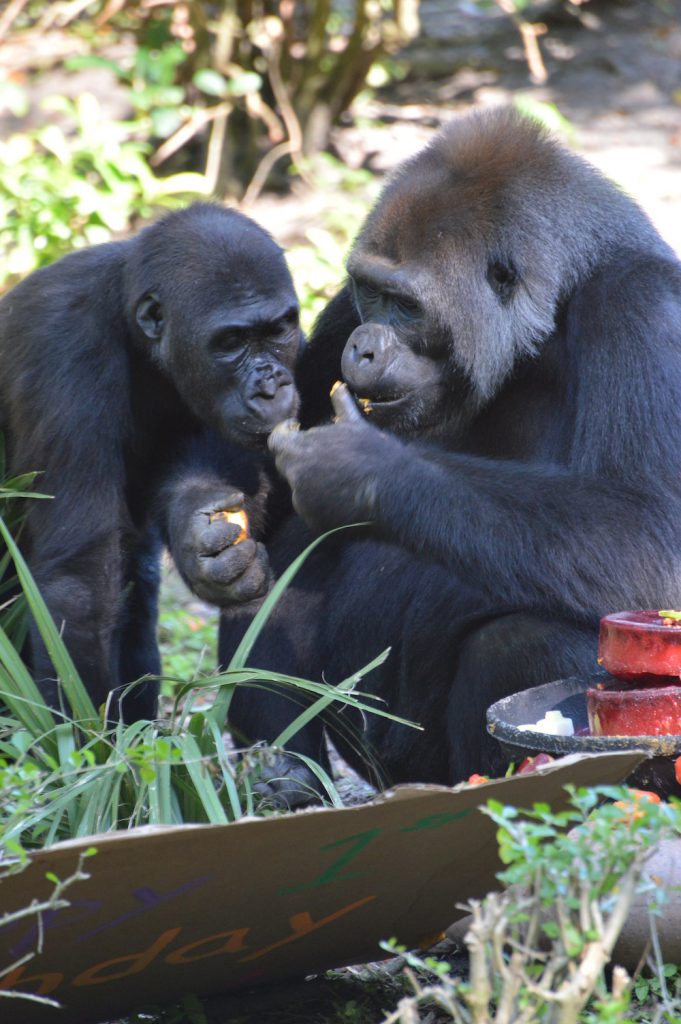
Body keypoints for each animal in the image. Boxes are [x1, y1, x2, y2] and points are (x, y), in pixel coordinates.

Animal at [0, 203, 301, 720]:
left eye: (278, 330)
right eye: (231, 341)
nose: (271, 384)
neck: (131, 326)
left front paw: (202, 540)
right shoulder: (62, 358)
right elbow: (78, 585)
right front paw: (90, 739)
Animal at [173, 110, 679, 798]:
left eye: (408, 307)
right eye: (371, 293)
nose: (362, 347)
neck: (551, 311)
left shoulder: (645, 309)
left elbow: (648, 536)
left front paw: (359, 471)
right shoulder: (339, 310)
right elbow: (262, 499)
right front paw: (200, 535)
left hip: (434, 765)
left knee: (529, 643)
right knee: (279, 570)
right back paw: (285, 773)